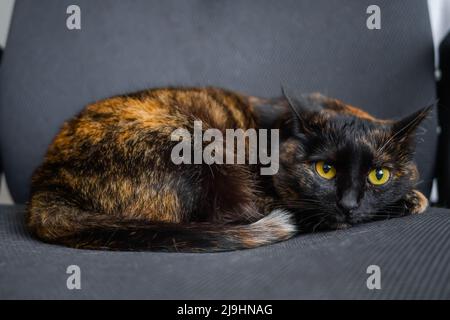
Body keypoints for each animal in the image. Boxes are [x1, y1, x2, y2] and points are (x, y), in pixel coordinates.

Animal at [25, 86, 432, 251]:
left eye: (379, 175)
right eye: (325, 170)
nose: (348, 205)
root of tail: (48, 179)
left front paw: (412, 197)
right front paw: (411, 201)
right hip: (196, 141)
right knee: (225, 215)